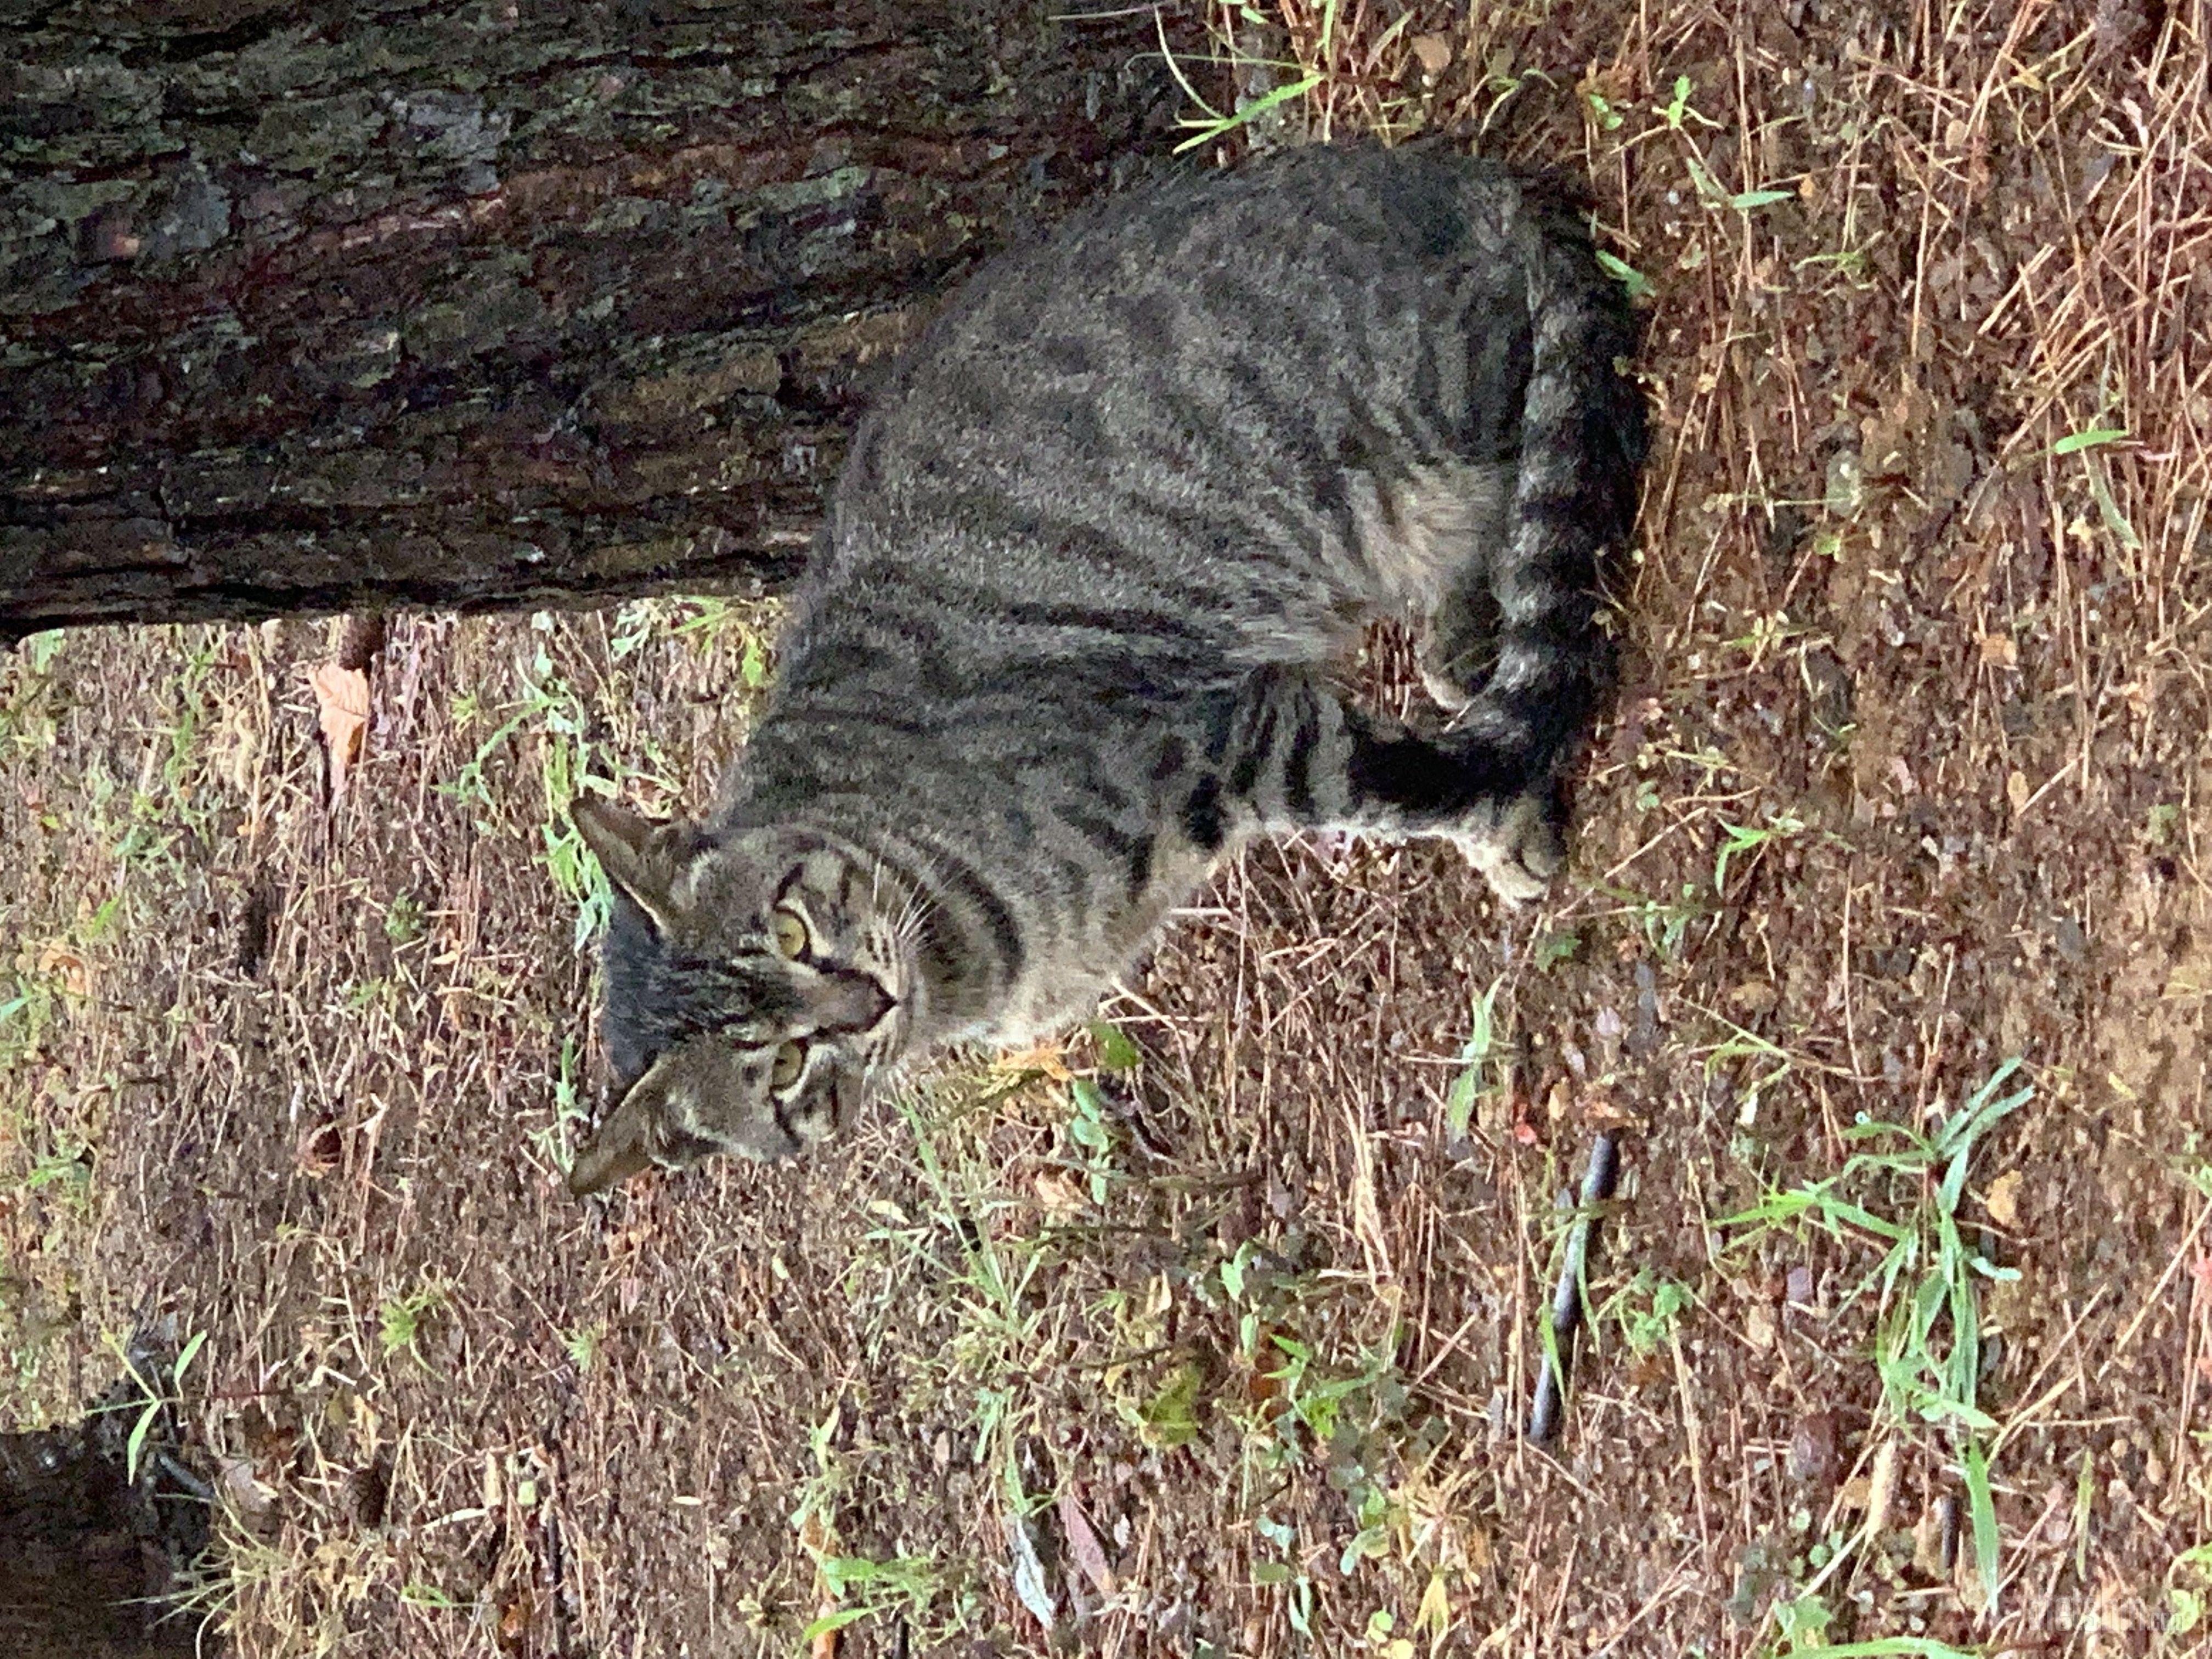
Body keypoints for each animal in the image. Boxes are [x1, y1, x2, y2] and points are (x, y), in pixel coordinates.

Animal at [566, 143, 1645, 1194]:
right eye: (785, 1065)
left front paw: (1504, 826)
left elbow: (1408, 784)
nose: (862, 1000)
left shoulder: (1232, 735)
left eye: (790, 930)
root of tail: (1457, 173)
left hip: (1399, 447)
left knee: (1516, 460)